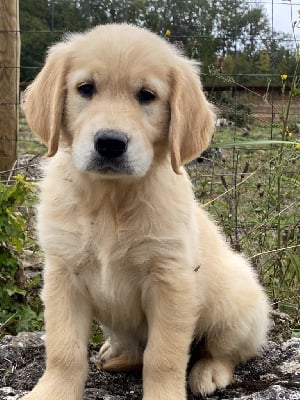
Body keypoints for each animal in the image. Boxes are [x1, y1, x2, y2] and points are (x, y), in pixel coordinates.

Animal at [21, 23, 270, 398]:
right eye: (85, 89)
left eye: (147, 96)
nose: (110, 143)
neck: (110, 199)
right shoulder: (63, 274)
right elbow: (64, 349)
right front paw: (53, 391)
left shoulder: (170, 280)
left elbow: (163, 356)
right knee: (133, 349)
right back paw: (116, 355)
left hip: (236, 305)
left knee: (224, 351)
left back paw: (210, 372)